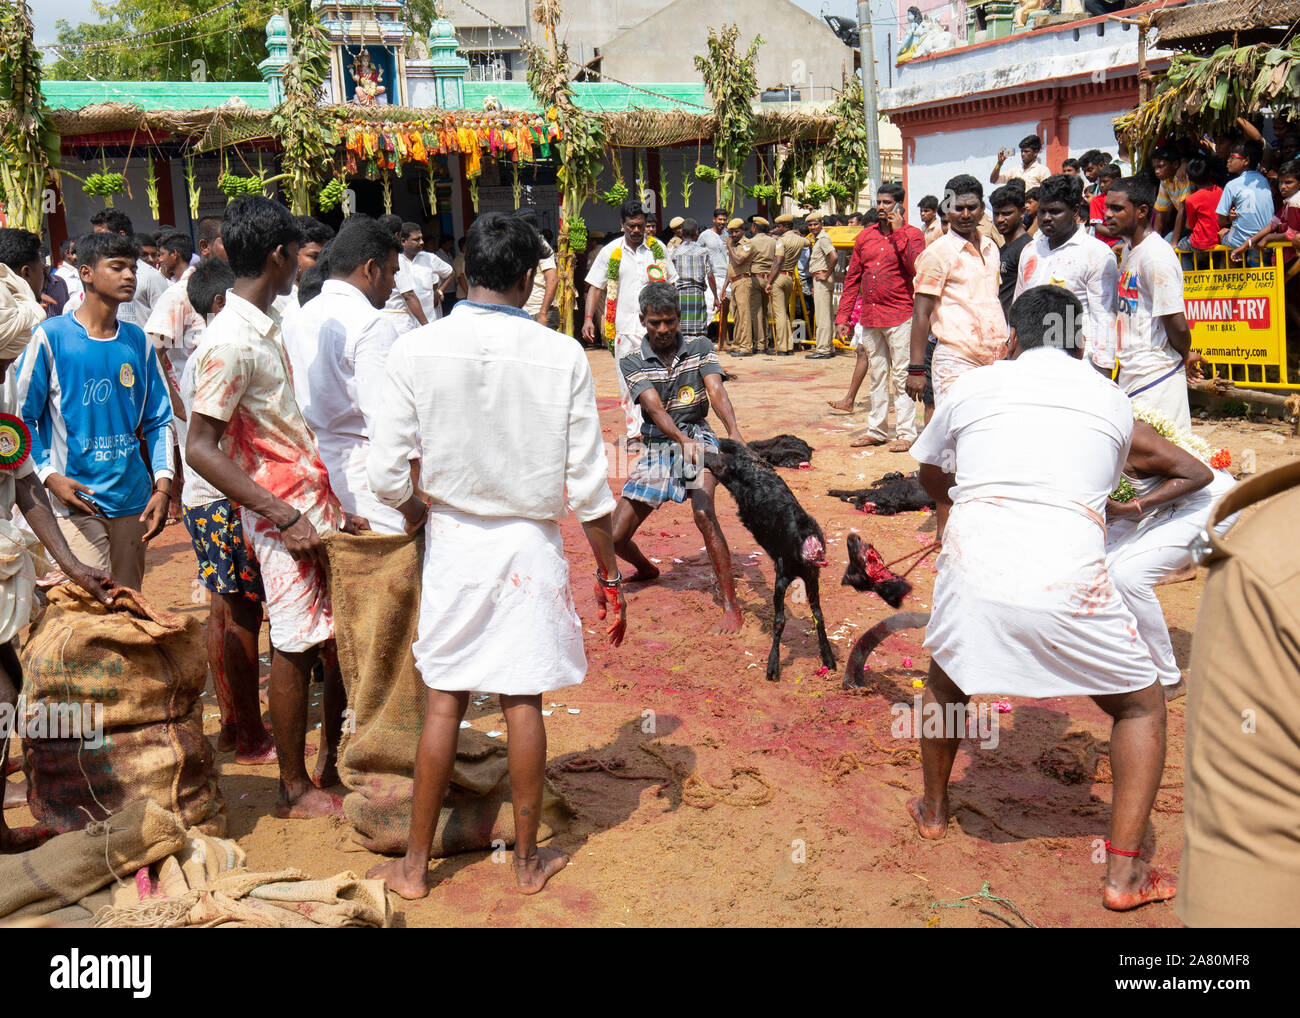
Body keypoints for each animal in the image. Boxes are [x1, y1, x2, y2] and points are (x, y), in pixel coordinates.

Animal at [702, 442, 832, 681]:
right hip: (725, 468)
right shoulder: (782, 575)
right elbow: (779, 619)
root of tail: (753, 461)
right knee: (709, 456)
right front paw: (773, 666)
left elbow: (818, 614)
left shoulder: (811, 577)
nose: (819, 556)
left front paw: (828, 657)